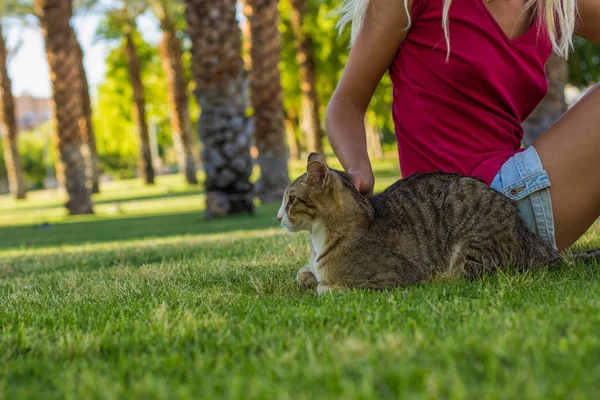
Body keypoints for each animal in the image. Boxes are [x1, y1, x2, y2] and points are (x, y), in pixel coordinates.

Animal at [278, 152, 596, 294]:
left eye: (290, 199)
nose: (279, 217)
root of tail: (529, 236)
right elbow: (304, 273)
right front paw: (308, 276)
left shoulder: (392, 277)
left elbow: (329, 287)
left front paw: (321, 284)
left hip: (469, 246)